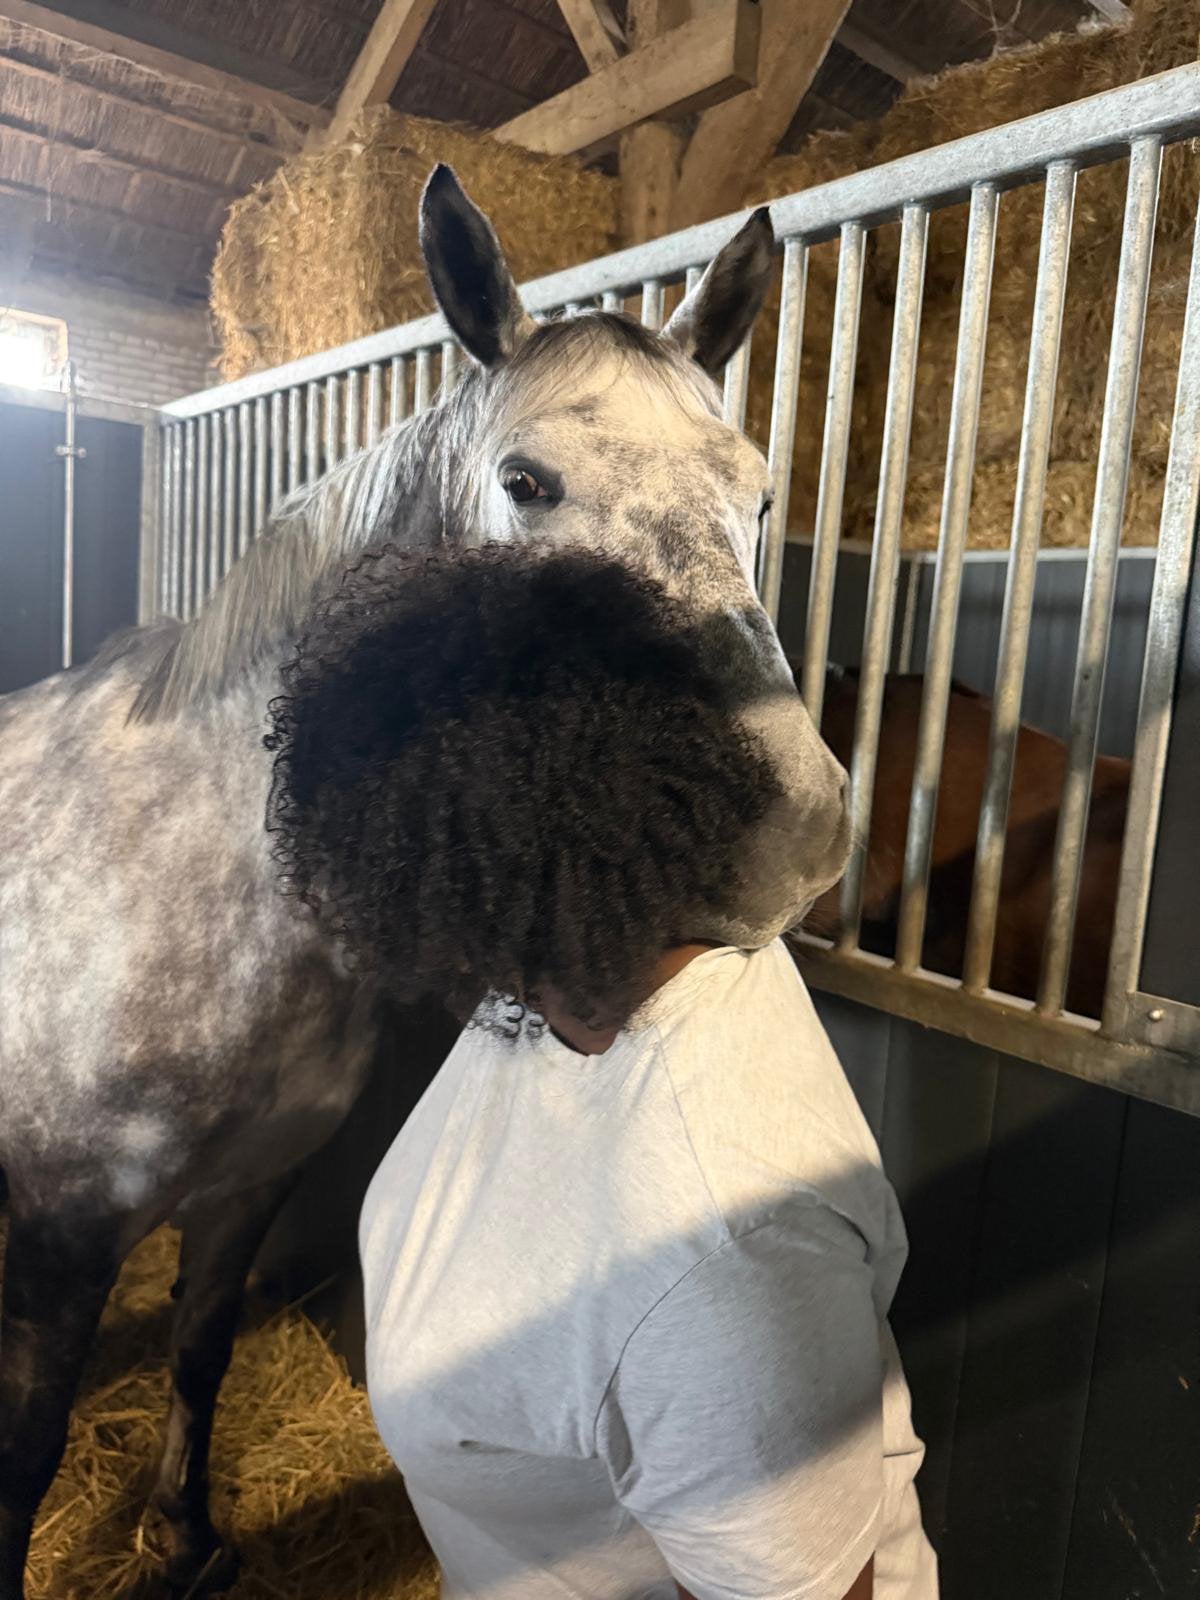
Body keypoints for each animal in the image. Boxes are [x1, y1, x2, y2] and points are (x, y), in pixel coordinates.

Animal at [0, 167, 849, 1598]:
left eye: (761, 496)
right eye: (526, 481)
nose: (794, 826)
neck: (190, 876)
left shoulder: (246, 1194)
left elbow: (198, 1353)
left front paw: (188, 1537)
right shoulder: (61, 1245)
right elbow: (30, 1450)